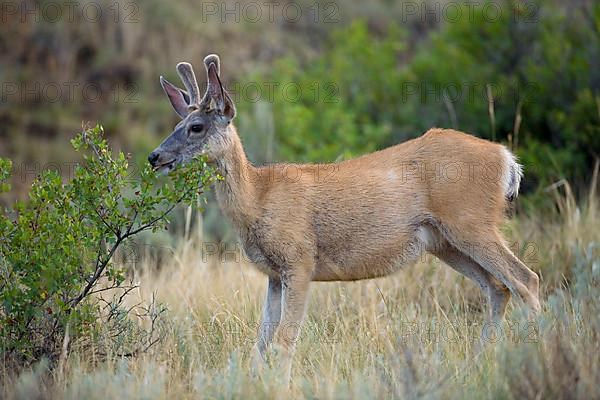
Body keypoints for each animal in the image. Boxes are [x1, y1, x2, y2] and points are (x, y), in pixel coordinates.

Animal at [149, 53, 540, 382]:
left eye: (196, 127)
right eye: (178, 123)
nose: (155, 156)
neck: (258, 199)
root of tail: (506, 159)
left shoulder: (300, 260)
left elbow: (285, 339)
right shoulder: (274, 274)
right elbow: (261, 342)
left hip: (471, 222)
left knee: (525, 279)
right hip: (445, 241)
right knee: (498, 288)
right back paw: (477, 364)